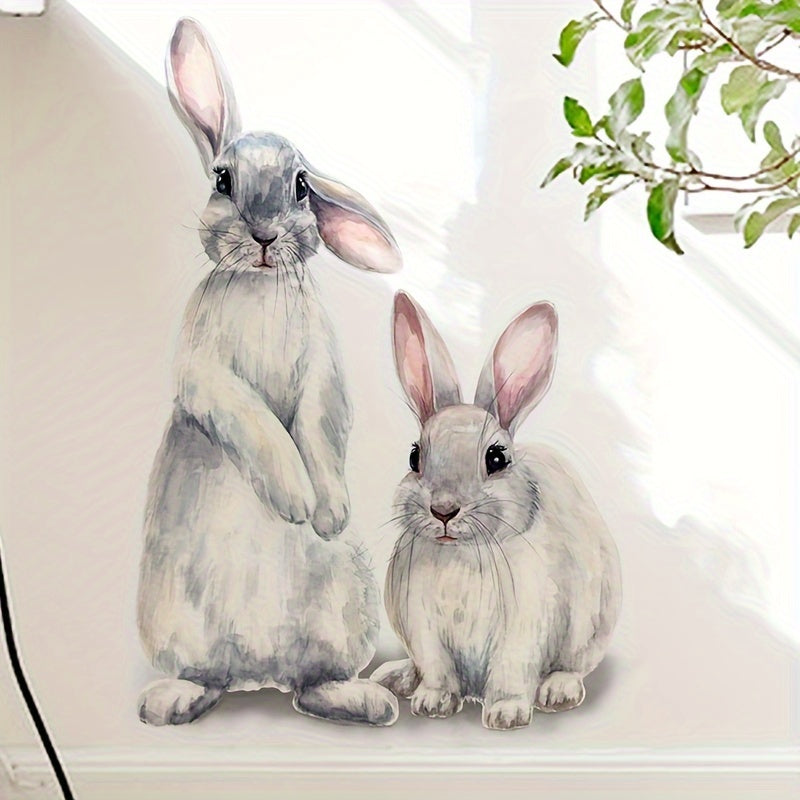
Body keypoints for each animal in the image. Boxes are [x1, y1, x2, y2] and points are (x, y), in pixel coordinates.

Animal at [136, 18, 402, 727]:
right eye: (223, 180)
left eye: (302, 187)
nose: (262, 234)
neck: (259, 286)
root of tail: (259, 675)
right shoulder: (207, 374)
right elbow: (254, 422)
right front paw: (294, 502)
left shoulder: (323, 372)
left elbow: (317, 424)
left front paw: (327, 513)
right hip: (175, 620)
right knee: (209, 676)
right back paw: (171, 703)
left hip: (344, 614)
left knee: (312, 685)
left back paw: (365, 700)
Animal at [371, 292, 621, 730]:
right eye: (414, 456)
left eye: (497, 457)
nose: (443, 510)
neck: (461, 554)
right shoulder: (424, 628)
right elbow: (437, 670)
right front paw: (433, 703)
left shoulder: (525, 629)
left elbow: (510, 672)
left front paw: (506, 715)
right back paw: (395, 677)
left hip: (592, 625)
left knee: (573, 666)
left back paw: (559, 691)